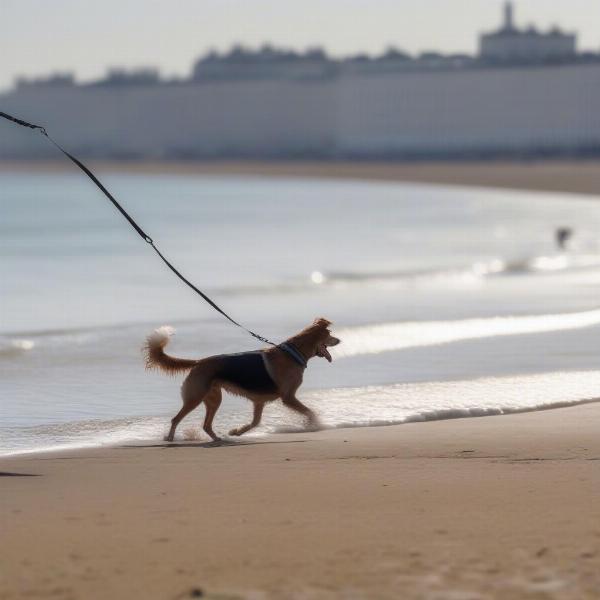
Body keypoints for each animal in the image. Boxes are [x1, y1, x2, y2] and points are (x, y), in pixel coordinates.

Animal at [143, 318, 340, 440]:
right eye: (330, 334)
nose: (339, 340)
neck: (293, 354)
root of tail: (199, 362)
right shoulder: (288, 397)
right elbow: (309, 412)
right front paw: (314, 424)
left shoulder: (259, 402)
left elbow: (255, 422)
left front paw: (236, 432)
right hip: (195, 398)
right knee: (175, 419)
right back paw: (169, 438)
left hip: (213, 399)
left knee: (206, 425)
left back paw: (218, 438)